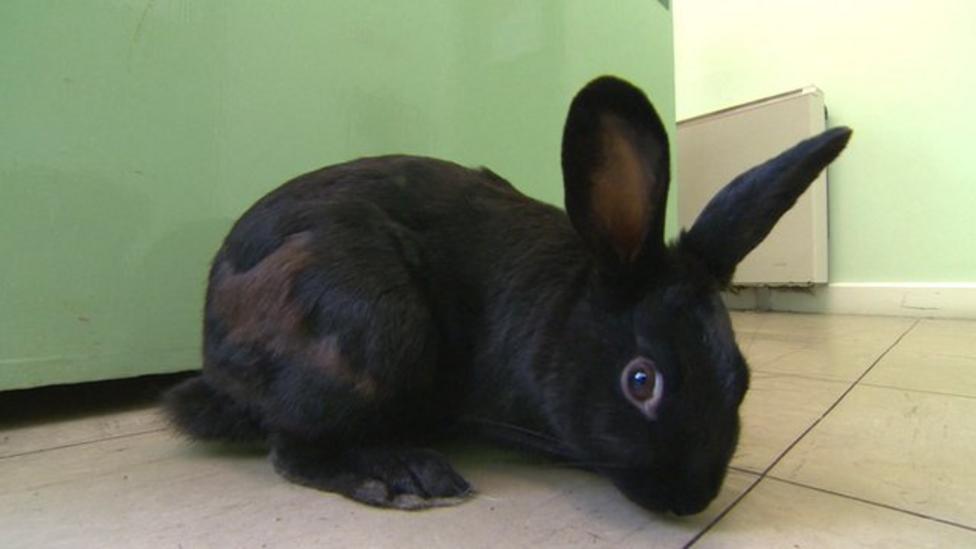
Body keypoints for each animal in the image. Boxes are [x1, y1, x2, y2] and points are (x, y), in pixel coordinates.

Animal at [163, 75, 851, 516]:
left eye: (742, 379)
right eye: (640, 381)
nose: (691, 499)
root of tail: (214, 358)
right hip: (377, 325)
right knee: (292, 447)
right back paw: (404, 477)